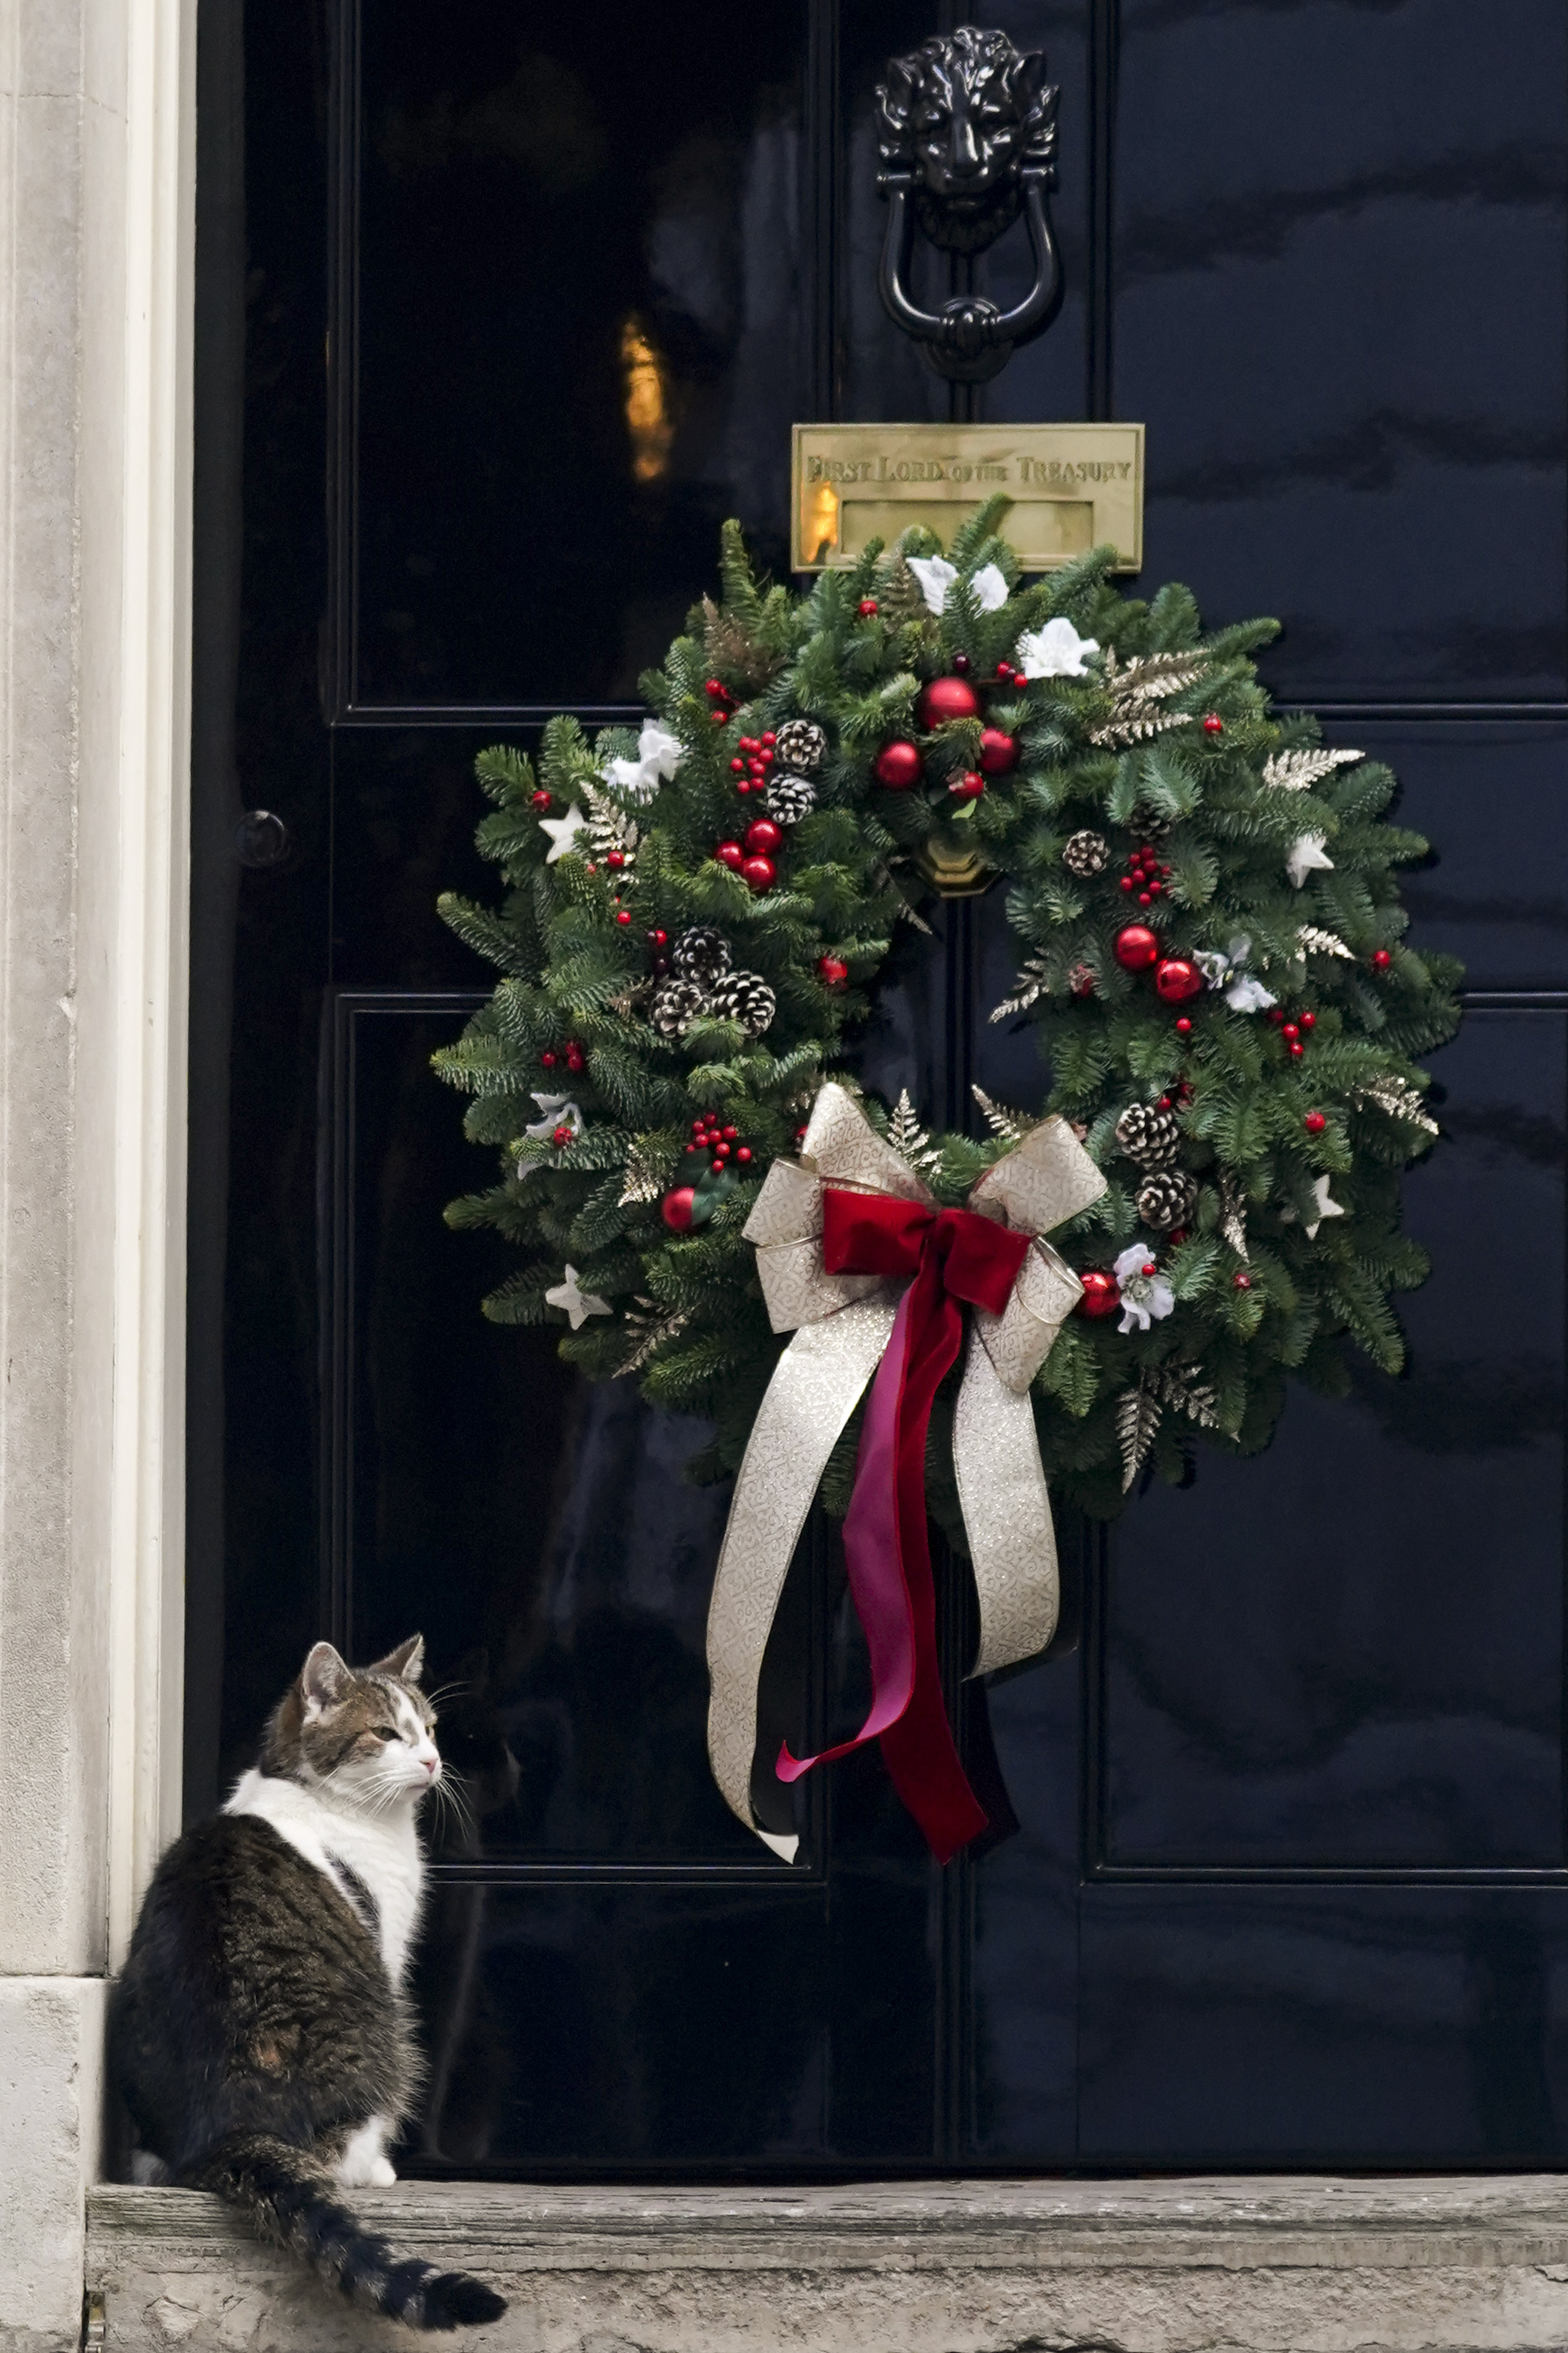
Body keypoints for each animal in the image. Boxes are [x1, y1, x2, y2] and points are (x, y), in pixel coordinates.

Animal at [110, 1637, 503, 2334]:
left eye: (429, 1729)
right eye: (386, 1734)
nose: (432, 1760)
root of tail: (230, 2130)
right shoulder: (387, 1944)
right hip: (387, 2034)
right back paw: (375, 2167)